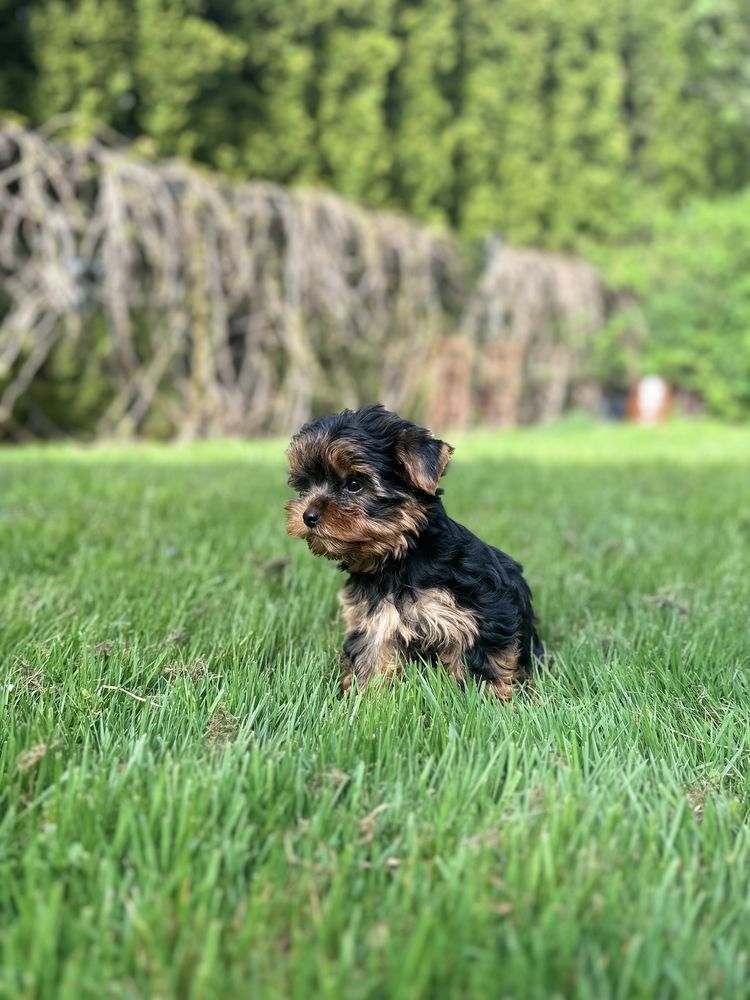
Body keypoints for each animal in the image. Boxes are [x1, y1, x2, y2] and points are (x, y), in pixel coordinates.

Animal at [284, 404, 544, 696]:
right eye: (305, 486)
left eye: (354, 484)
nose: (308, 515)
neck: (399, 557)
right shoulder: (375, 621)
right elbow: (372, 658)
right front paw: (365, 698)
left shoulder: (483, 611)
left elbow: (486, 662)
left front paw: (488, 699)